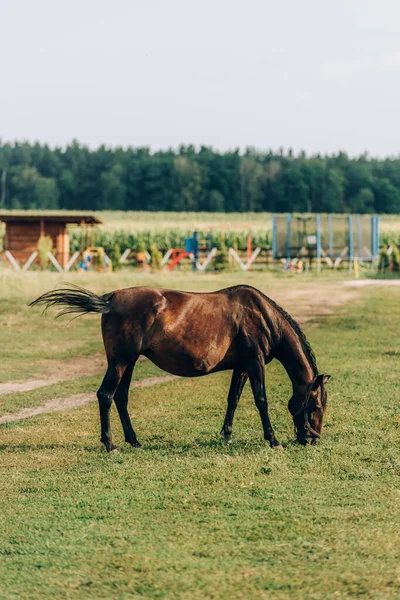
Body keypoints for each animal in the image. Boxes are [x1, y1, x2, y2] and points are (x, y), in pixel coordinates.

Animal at [30, 284, 332, 450]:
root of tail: (111, 298)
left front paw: (226, 436)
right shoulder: (255, 363)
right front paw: (273, 439)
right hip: (119, 362)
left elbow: (233, 399)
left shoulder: (243, 367)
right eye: (315, 406)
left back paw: (134, 440)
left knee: (121, 397)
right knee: (105, 395)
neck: (261, 314)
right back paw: (110, 444)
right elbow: (261, 400)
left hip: (129, 363)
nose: (312, 439)